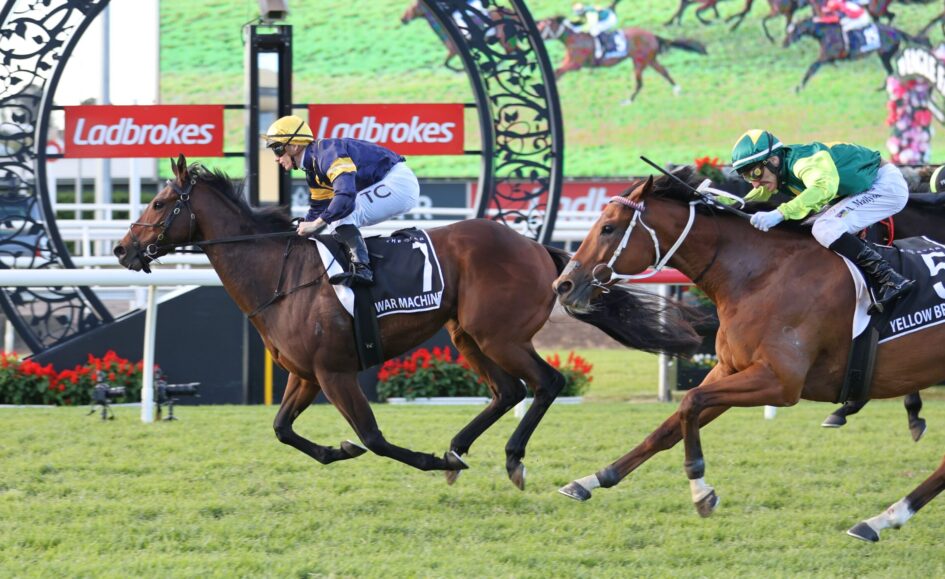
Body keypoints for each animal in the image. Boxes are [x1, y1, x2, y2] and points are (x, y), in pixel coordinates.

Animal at [113, 155, 702, 490]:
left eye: (160, 202)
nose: (121, 249)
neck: (279, 273)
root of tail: (541, 248)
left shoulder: (334, 373)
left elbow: (373, 437)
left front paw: (410, 457)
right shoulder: (305, 374)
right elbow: (282, 430)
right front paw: (336, 450)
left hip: (500, 334)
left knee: (547, 382)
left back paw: (507, 458)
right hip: (467, 334)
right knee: (509, 390)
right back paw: (457, 451)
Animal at [536, 16, 707, 105]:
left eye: (542, 27)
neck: (574, 37)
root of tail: (653, 35)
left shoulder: (575, 64)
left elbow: (557, 72)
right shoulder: (570, 62)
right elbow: (557, 72)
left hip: (639, 62)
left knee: (640, 83)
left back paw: (628, 101)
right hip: (650, 60)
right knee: (664, 71)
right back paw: (677, 89)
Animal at [552, 167, 945, 542]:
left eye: (608, 228)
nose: (563, 285)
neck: (759, 274)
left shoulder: (780, 382)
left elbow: (689, 402)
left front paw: (701, 490)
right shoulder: (730, 369)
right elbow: (668, 427)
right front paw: (592, 479)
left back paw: (885, 517)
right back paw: (881, 519)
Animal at [783, 17, 927, 92]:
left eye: (791, 31)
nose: (784, 43)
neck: (825, 32)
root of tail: (895, 31)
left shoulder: (825, 57)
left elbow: (812, 68)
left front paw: (798, 88)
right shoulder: (827, 58)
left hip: (885, 55)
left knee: (891, 71)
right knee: (893, 71)